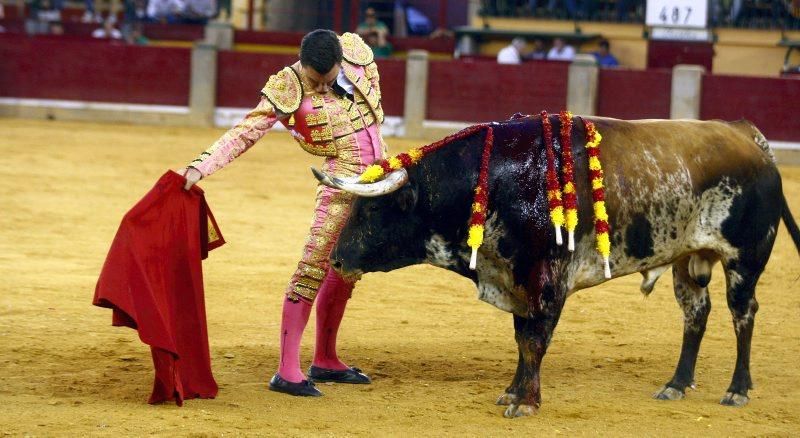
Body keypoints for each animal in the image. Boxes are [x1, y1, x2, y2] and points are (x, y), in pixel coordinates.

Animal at [310, 114, 800, 420]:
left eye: (373, 211)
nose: (337, 258)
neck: (495, 181)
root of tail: (748, 135)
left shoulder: (546, 280)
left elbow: (534, 341)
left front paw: (526, 403)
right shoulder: (515, 279)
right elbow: (521, 339)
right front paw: (513, 392)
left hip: (744, 259)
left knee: (743, 314)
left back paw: (737, 390)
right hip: (687, 260)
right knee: (696, 314)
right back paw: (677, 384)